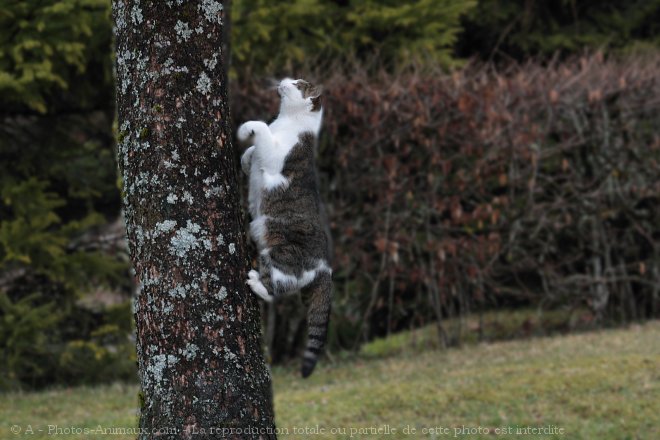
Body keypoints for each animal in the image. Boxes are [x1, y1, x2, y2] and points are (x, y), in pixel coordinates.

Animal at [236, 79, 330, 378]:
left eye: (299, 84)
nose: (284, 80)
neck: (285, 121)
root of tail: (325, 266)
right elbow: (251, 154)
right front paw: (246, 158)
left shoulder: (278, 155)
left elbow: (260, 129)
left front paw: (245, 129)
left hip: (280, 254)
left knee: (274, 291)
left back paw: (255, 282)